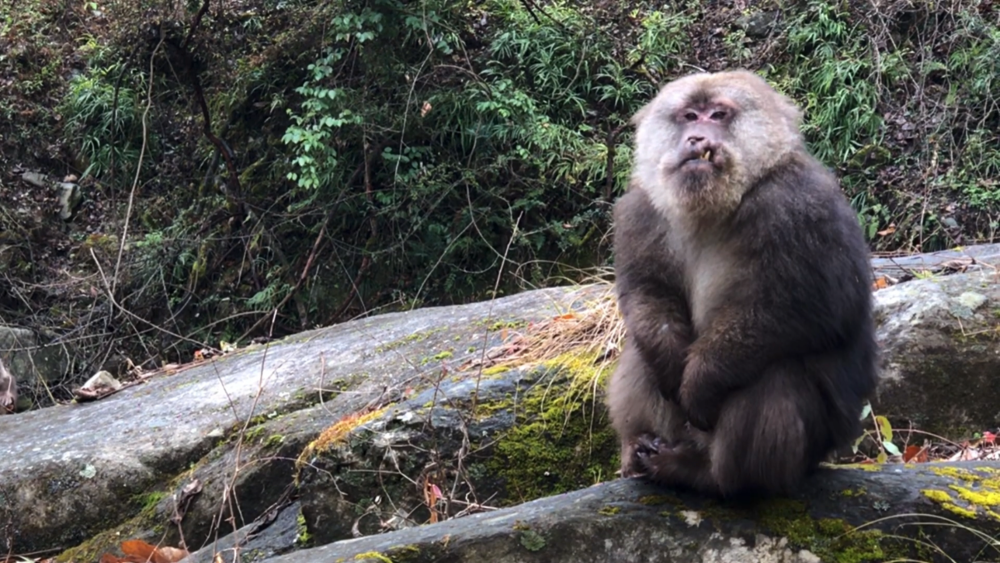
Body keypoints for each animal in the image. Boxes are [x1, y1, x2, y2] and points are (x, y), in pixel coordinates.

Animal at [600, 70, 876, 498]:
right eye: (689, 116)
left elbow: (816, 311)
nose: (696, 139)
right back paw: (641, 449)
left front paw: (702, 381)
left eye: (717, 115)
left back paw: (711, 476)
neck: (718, 206)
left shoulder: (800, 206)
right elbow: (649, 295)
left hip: (805, 455)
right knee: (641, 351)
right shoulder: (640, 210)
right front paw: (670, 364)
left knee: (773, 370)